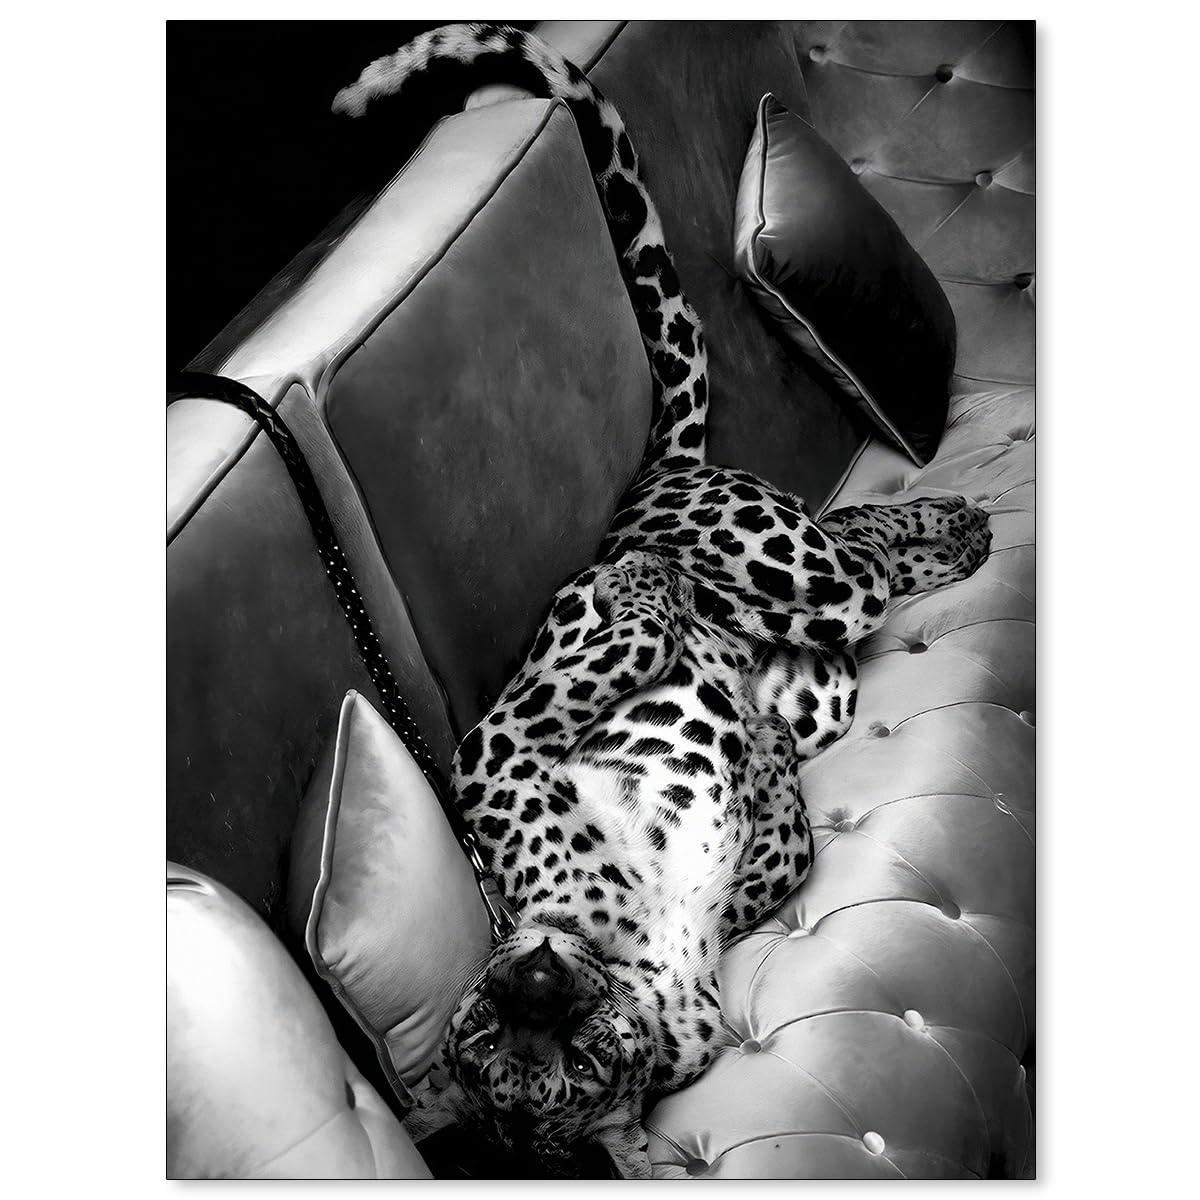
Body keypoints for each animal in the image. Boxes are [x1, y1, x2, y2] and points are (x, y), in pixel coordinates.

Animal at [333, 23, 991, 1179]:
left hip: (782, 569)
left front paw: (641, 602)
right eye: (505, 1050)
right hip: (815, 651)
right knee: (861, 563)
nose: (533, 978)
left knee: (851, 546)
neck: (626, 953)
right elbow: (777, 820)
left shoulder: (493, 753)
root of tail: (653, 480)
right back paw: (944, 536)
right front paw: (754, 756)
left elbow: (594, 667)